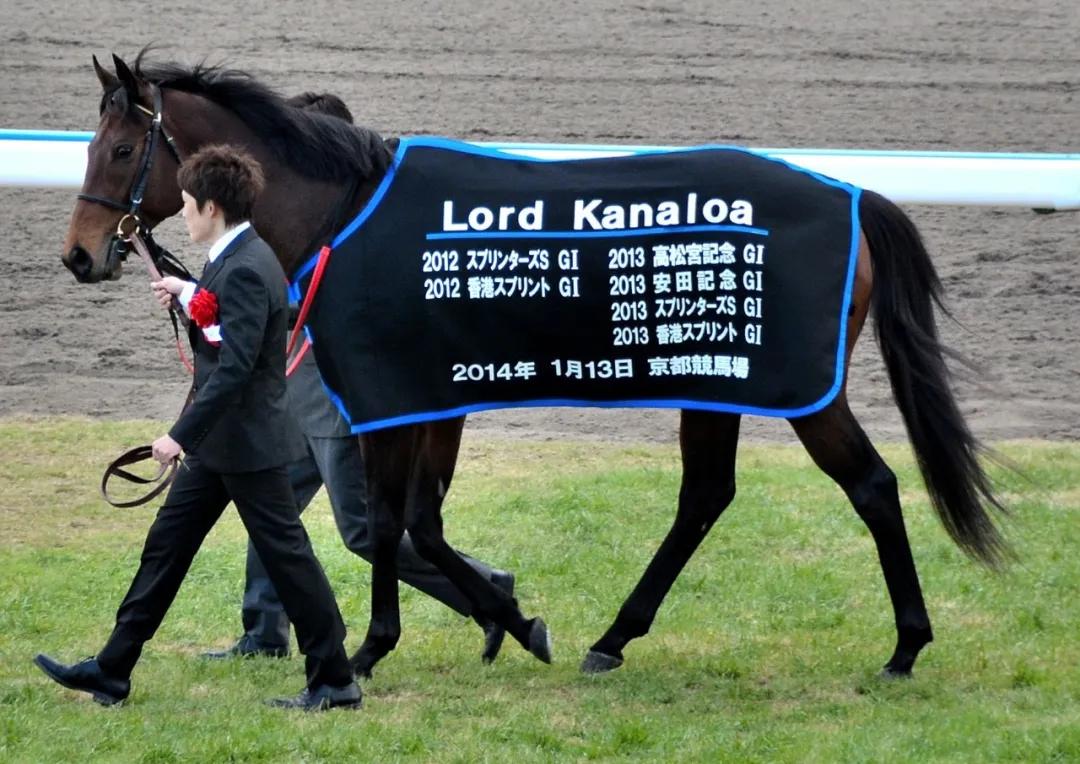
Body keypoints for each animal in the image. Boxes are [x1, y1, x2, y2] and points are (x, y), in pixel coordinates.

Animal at [62, 50, 1008, 681]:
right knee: (707, 497)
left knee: (870, 487)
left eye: (120, 149)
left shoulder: (396, 396)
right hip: (713, 383)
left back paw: (905, 646)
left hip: (797, 389)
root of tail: (854, 195)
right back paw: (613, 639)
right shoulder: (435, 402)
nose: (79, 255)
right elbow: (422, 523)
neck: (350, 214)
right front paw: (506, 620)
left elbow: (399, 522)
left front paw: (378, 647)